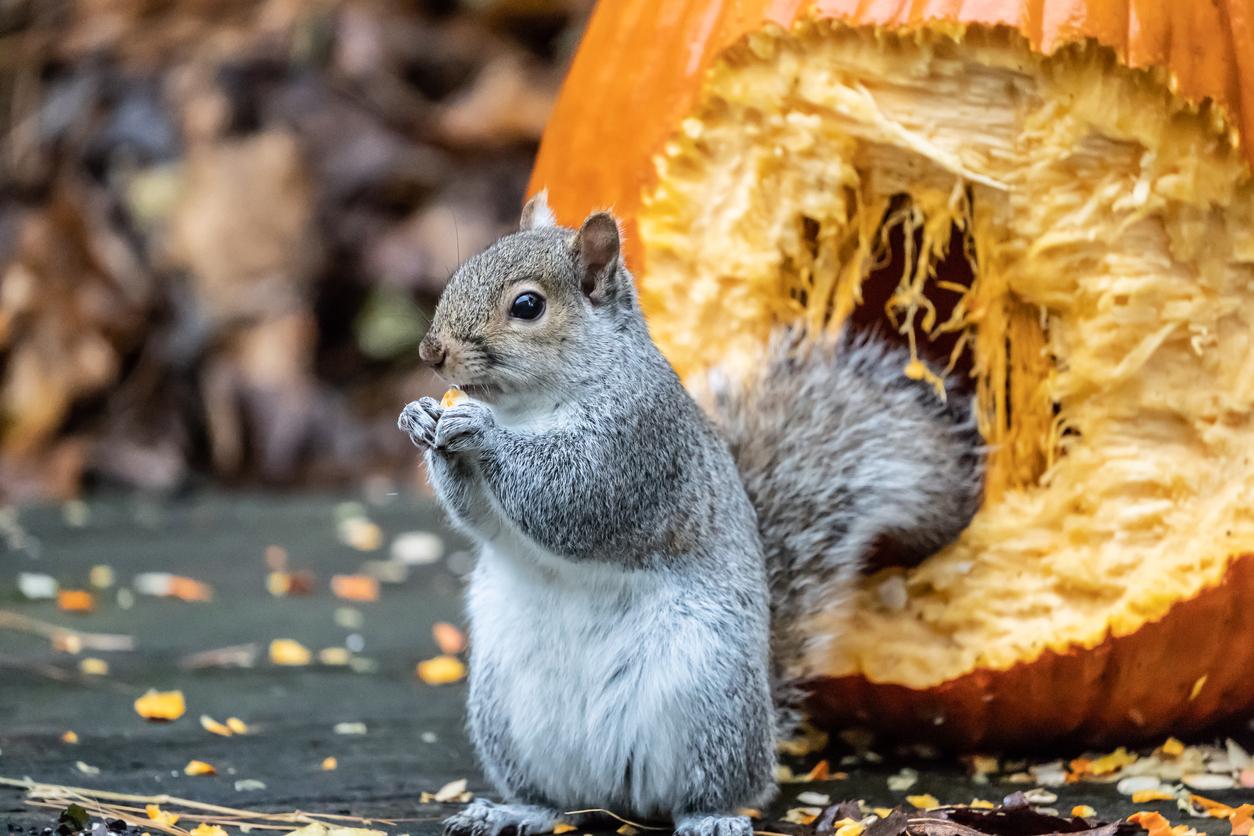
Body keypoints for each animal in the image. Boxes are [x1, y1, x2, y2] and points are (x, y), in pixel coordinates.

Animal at [396, 193, 983, 836]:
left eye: (527, 306)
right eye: (461, 271)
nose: (431, 353)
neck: (533, 407)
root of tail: (615, 795)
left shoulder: (636, 446)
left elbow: (568, 497)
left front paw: (480, 431)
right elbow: (482, 518)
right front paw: (423, 420)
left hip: (707, 696)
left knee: (714, 788)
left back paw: (711, 817)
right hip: (505, 712)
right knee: (552, 799)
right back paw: (513, 810)